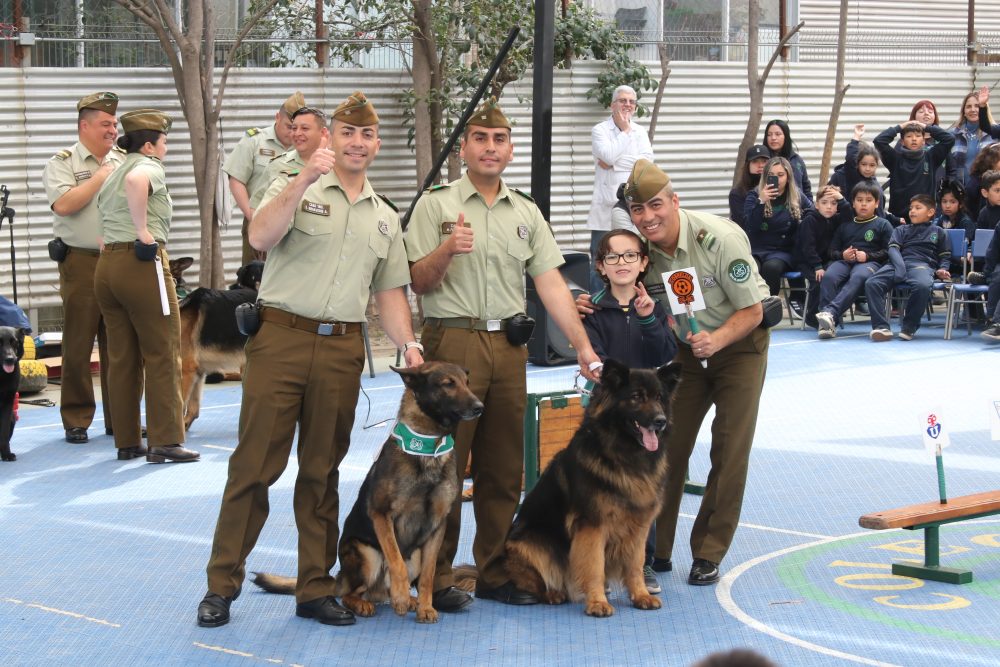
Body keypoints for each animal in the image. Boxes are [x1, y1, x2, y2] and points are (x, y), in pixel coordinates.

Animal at [250, 362, 484, 624]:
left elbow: (428, 575)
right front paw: (401, 597)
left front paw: (425, 606)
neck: (427, 449)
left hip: (414, 556)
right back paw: (369, 603)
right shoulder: (382, 515)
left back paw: (411, 601)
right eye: (448, 384)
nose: (479, 407)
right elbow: (396, 562)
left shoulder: (437, 526)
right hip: (367, 555)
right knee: (350, 593)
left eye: (466, 382)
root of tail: (340, 577)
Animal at [458, 362, 680, 620]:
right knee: (534, 581)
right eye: (636, 397)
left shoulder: (639, 527)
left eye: (659, 398)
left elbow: (635, 565)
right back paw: (552, 594)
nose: (660, 420)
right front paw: (597, 602)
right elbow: (594, 567)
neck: (623, 455)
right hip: (531, 545)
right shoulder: (592, 527)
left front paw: (641, 595)